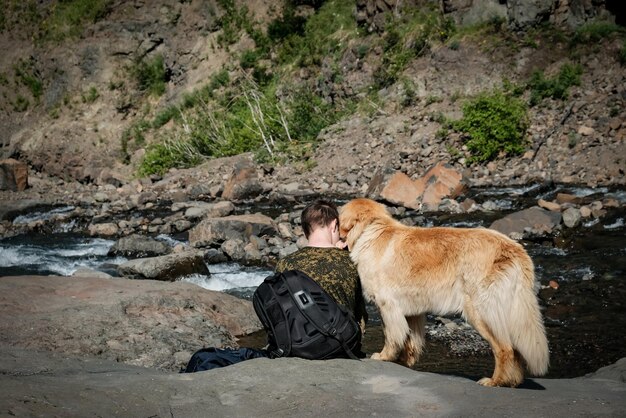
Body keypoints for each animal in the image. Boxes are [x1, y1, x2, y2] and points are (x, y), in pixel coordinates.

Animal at [338, 198, 548, 386]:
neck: (370, 230)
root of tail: (515, 248)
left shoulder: (387, 305)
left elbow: (391, 335)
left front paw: (383, 356)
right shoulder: (411, 310)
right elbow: (410, 340)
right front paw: (404, 361)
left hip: (480, 312)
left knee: (505, 349)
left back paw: (495, 381)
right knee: (515, 351)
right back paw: (513, 381)